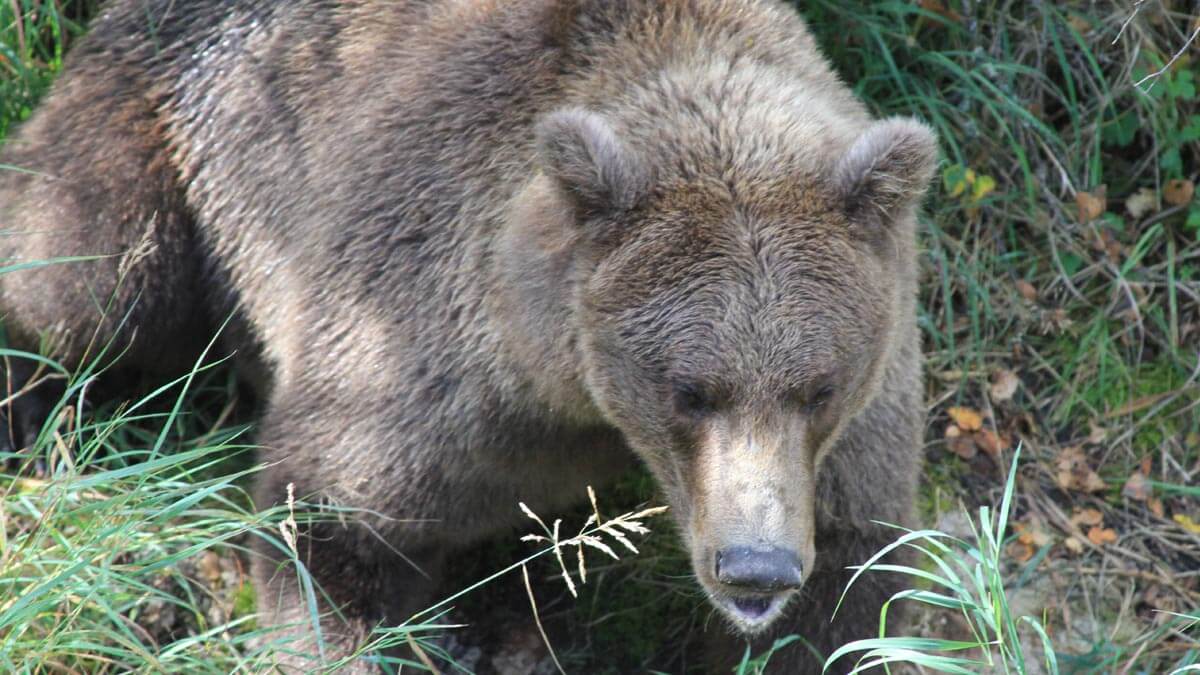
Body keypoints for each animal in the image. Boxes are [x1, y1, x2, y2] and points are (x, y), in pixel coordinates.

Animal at [0, 0, 931, 667]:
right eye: (689, 388)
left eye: (819, 385)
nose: (754, 568)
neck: (565, 387)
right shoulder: (418, 353)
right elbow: (335, 529)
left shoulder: (853, 433)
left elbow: (847, 593)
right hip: (177, 141)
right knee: (83, 276)